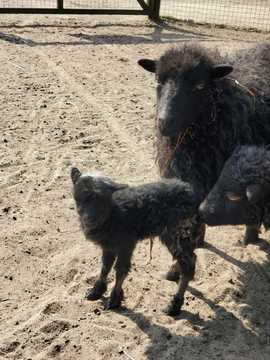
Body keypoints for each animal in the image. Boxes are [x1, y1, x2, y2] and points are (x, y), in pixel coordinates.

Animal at [71, 167, 198, 310]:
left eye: (102, 199)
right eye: (78, 198)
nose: (89, 219)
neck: (113, 213)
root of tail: (188, 190)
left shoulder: (127, 243)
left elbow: (121, 269)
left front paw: (114, 299)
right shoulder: (109, 246)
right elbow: (105, 267)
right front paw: (96, 291)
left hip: (178, 231)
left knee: (188, 263)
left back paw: (174, 305)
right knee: (190, 257)